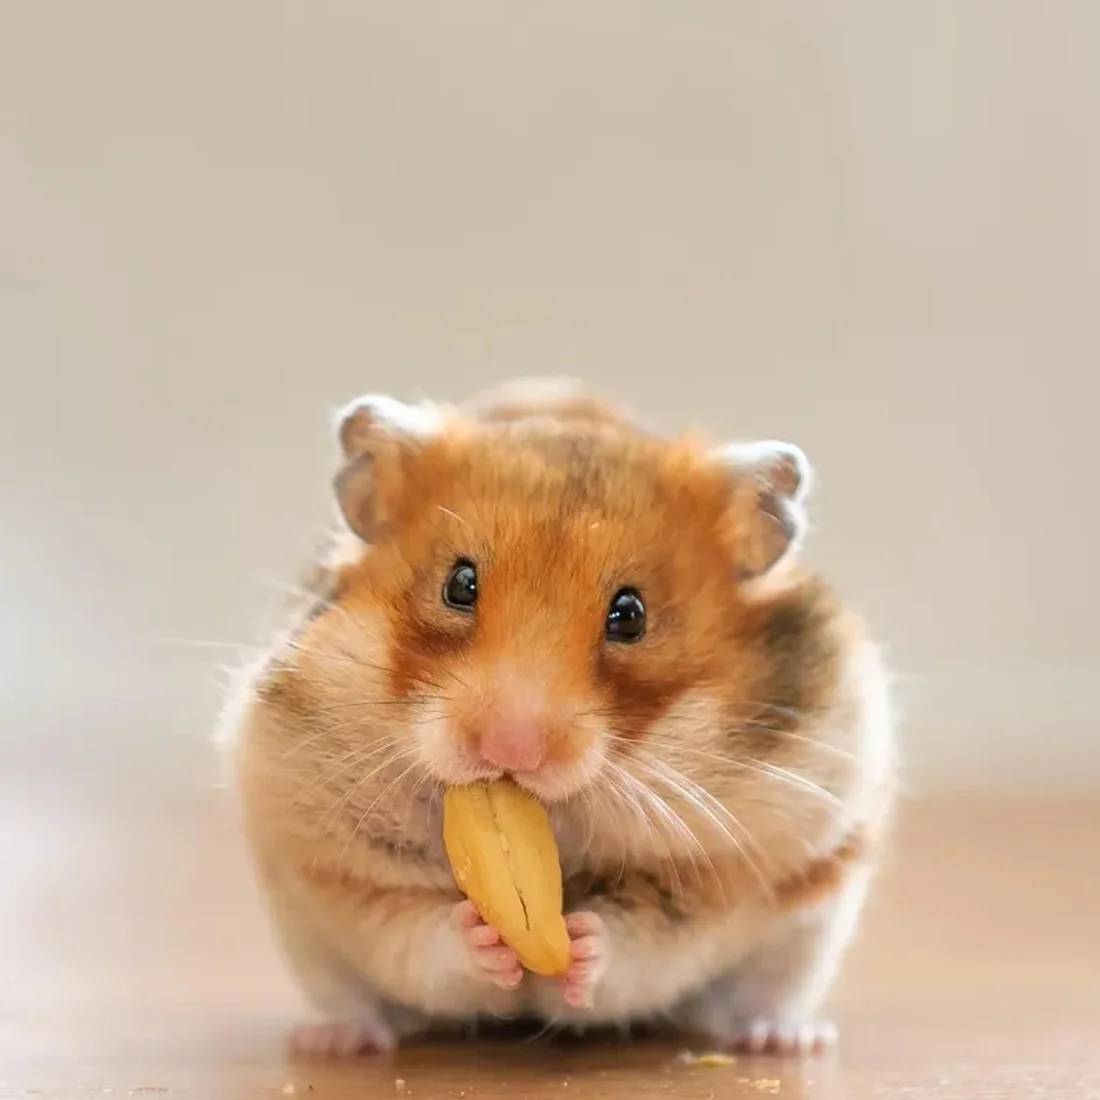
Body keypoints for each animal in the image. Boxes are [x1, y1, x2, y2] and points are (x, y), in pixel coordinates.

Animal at [232, 378, 894, 1058]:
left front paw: (580, 944)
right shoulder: (335, 860)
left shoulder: (726, 868)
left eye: (630, 614)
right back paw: (333, 1041)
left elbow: (644, 938)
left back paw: (786, 1040)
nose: (510, 750)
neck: (557, 818)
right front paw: (482, 935)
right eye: (459, 584)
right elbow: (417, 930)